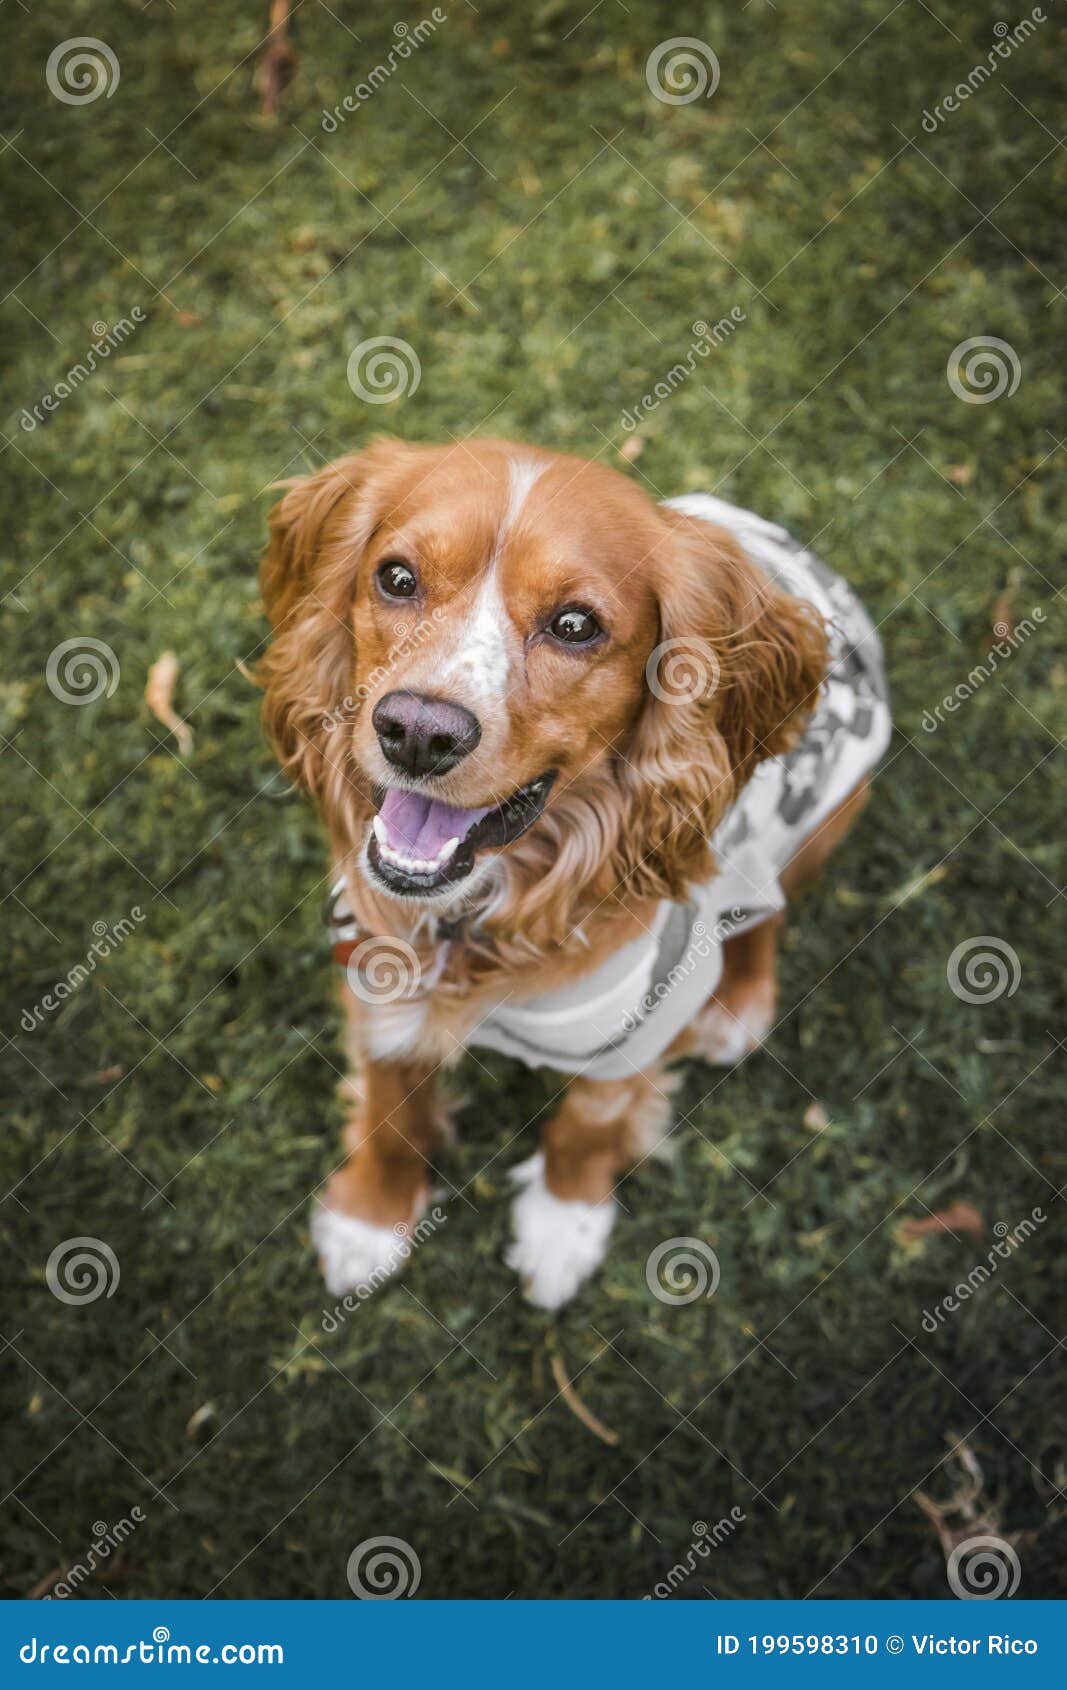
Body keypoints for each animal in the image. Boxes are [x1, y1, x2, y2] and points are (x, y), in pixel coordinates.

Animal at [260, 436, 892, 1304]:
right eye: (396, 578)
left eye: (574, 626)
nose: (417, 732)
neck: (482, 911)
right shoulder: (377, 965)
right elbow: (391, 1099)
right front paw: (371, 1217)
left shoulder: (642, 1016)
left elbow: (591, 1123)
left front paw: (564, 1224)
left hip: (825, 809)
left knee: (766, 906)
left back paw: (736, 1004)